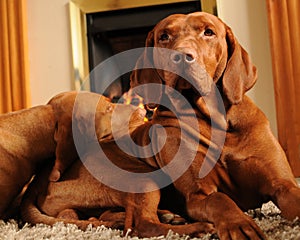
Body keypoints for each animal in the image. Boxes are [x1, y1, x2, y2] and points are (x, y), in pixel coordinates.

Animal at [129, 11, 300, 240]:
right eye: (164, 36)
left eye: (208, 32)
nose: (181, 56)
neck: (217, 122)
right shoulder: (198, 195)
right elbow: (220, 199)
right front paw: (239, 225)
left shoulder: (283, 185)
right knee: (140, 223)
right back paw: (195, 226)